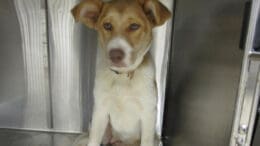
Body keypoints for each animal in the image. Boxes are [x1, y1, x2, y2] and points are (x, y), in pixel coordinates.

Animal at [72, 0, 172, 146]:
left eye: (134, 26)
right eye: (107, 25)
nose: (115, 55)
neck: (123, 77)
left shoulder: (148, 113)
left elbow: (146, 141)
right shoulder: (100, 111)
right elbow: (93, 140)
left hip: (155, 137)